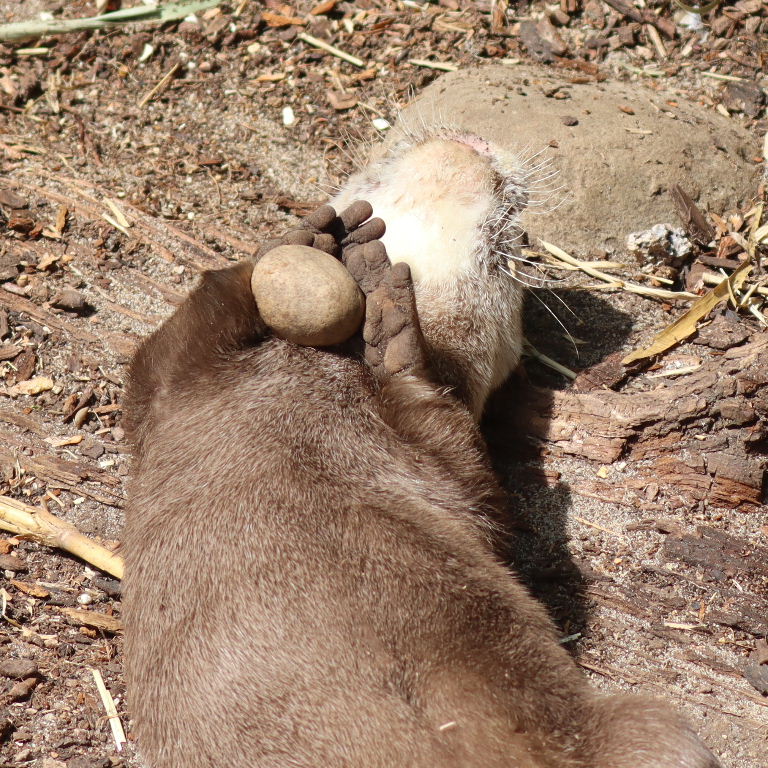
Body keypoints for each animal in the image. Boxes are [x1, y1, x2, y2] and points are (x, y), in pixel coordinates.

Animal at [121, 128, 721, 768]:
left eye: (511, 240)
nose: (472, 140)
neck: (311, 372)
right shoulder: (166, 395)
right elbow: (171, 341)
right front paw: (296, 241)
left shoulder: (455, 458)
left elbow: (469, 472)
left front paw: (391, 334)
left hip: (642, 724)